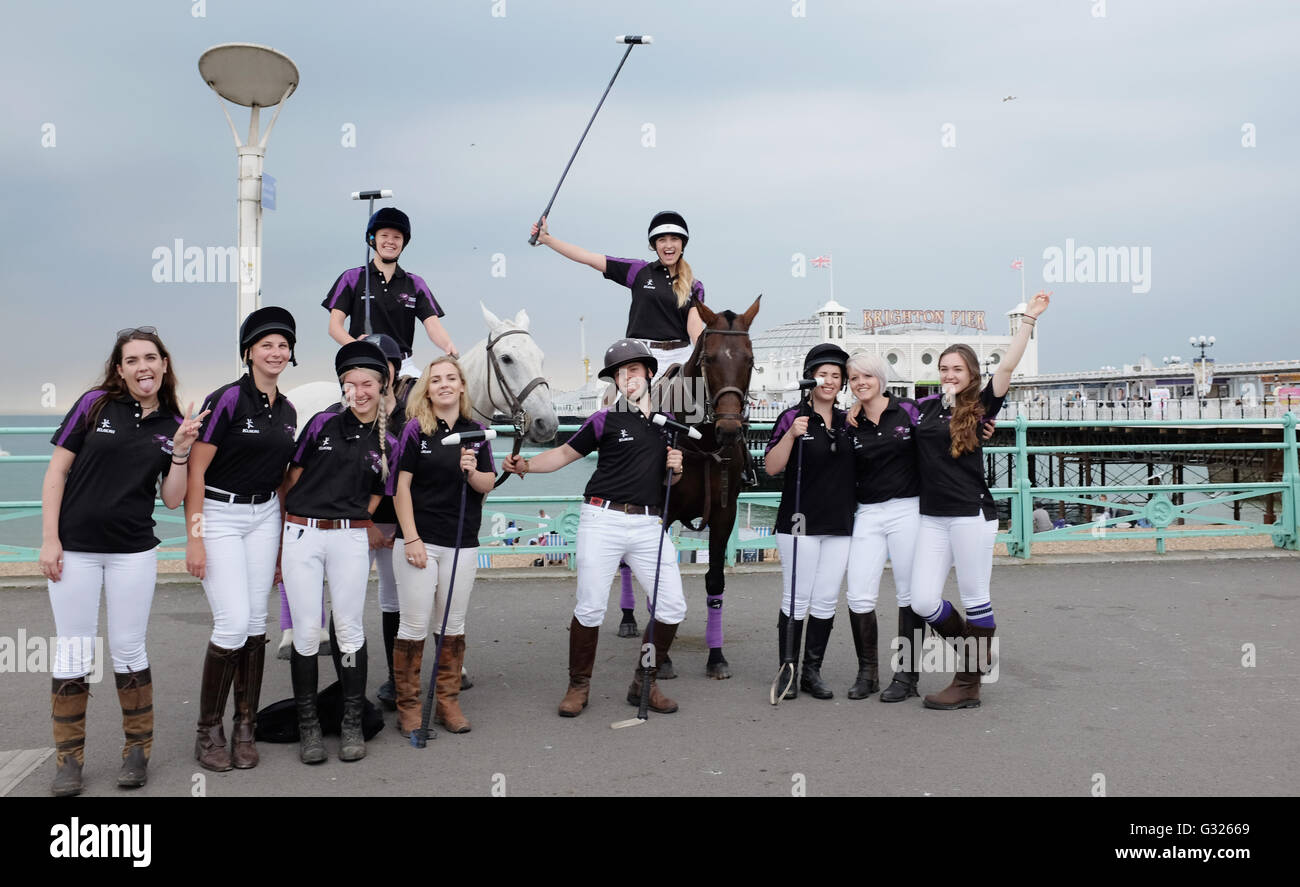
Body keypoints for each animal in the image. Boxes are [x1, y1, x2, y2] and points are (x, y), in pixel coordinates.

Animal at [650, 295, 759, 676]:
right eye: (709, 359)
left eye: (750, 359)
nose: (729, 429)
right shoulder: (662, 512)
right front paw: (662, 656)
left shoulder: (725, 513)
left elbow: (715, 580)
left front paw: (716, 656)